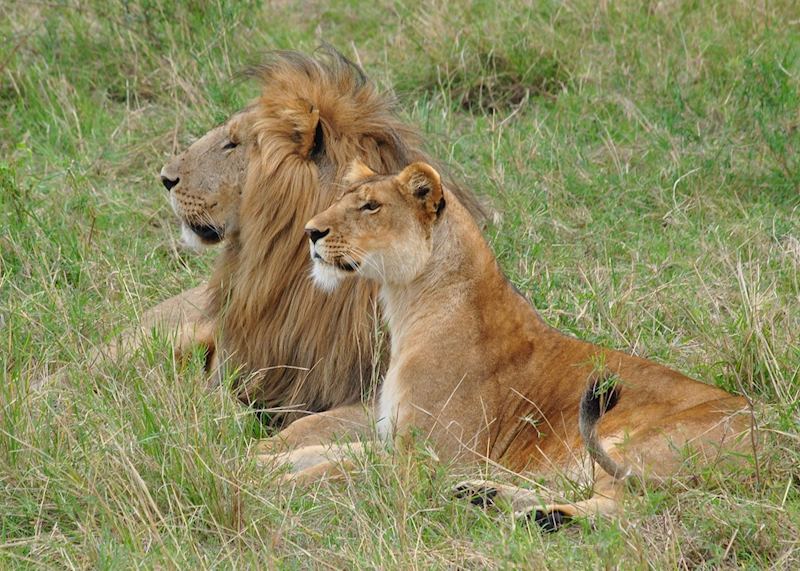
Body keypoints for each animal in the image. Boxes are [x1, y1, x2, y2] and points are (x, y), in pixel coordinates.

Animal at [270, 160, 756, 532]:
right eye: (342, 199)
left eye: (371, 206)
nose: (311, 232)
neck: (409, 305)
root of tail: (771, 447)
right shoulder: (395, 441)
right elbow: (320, 452)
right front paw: (262, 463)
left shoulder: (430, 460)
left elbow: (336, 469)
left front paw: (273, 488)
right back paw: (486, 497)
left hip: (631, 440)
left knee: (630, 505)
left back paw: (540, 516)